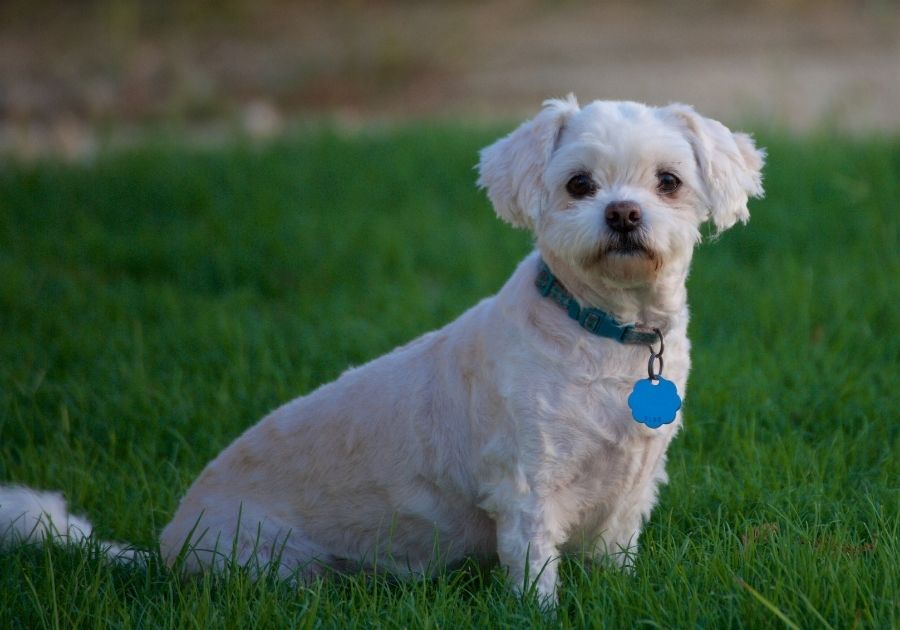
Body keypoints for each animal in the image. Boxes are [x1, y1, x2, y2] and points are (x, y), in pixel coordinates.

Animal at [0, 99, 764, 604]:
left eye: (668, 181)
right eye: (580, 184)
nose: (624, 213)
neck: (605, 334)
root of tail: (166, 545)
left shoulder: (632, 488)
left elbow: (617, 560)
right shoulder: (527, 490)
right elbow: (537, 581)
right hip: (264, 558)